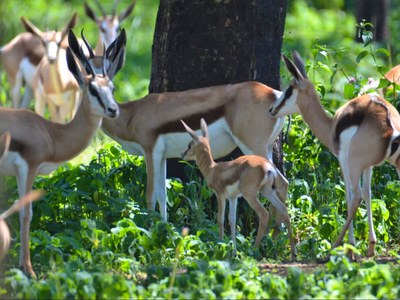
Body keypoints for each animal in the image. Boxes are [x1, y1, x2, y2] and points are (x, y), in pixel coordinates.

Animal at [0, 29, 125, 278]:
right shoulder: (28, 168)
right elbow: (25, 212)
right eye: (93, 89)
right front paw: (28, 269)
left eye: (112, 88)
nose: (113, 110)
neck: (52, 133)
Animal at [181, 118, 296, 258]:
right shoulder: (233, 197)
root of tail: (269, 167)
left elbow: (220, 219)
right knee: (283, 209)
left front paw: (220, 246)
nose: (182, 154)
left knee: (264, 214)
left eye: (189, 145)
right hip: (267, 191)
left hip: (250, 195)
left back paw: (254, 250)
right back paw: (293, 252)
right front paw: (233, 251)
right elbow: (232, 219)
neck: (212, 169)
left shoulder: (220, 194)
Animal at [268, 49, 400, 260]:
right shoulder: (368, 166)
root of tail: (388, 120)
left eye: (289, 91)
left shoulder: (343, 159)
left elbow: (349, 195)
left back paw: (334, 248)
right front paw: (370, 246)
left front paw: (351, 247)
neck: (332, 126)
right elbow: (369, 193)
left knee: (355, 196)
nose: (271, 109)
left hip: (354, 163)